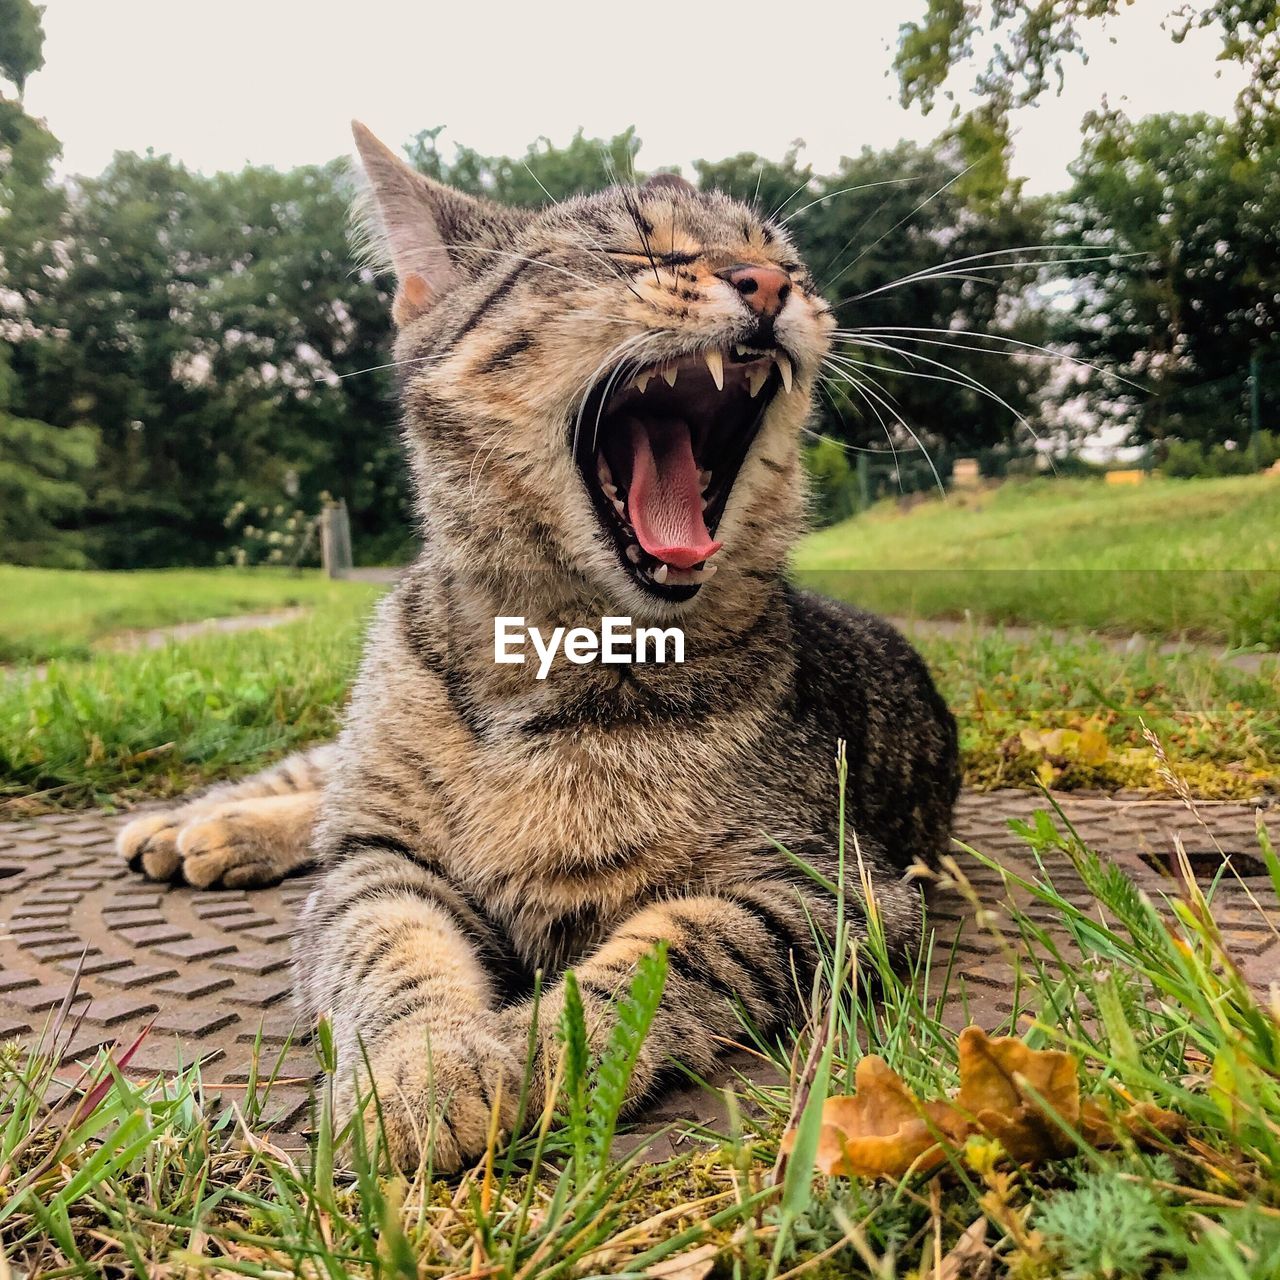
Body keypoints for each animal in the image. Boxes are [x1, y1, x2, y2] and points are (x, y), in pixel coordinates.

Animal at [120, 124, 962, 1172]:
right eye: (636, 250)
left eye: (793, 265)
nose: (769, 282)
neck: (556, 655)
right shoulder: (378, 858)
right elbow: (385, 944)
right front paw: (423, 1064)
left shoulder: (827, 886)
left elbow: (668, 953)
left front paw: (534, 1050)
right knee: (321, 779)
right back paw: (201, 823)